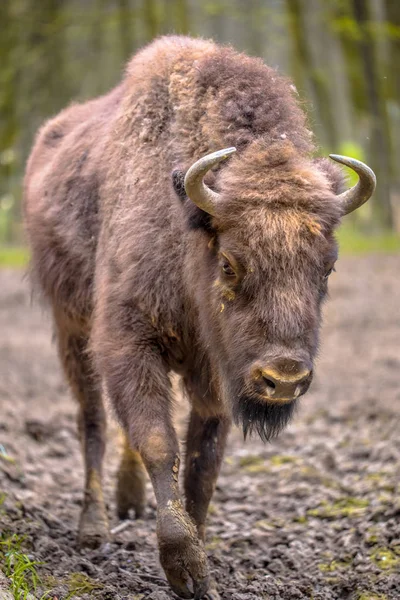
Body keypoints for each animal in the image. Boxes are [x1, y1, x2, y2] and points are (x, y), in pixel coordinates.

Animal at [24, 35, 376, 596]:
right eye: (230, 263)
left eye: (328, 266)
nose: (284, 378)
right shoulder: (128, 343)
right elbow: (159, 442)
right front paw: (184, 567)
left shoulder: (216, 371)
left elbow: (203, 458)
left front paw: (200, 552)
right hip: (70, 326)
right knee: (92, 419)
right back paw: (93, 528)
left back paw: (128, 500)